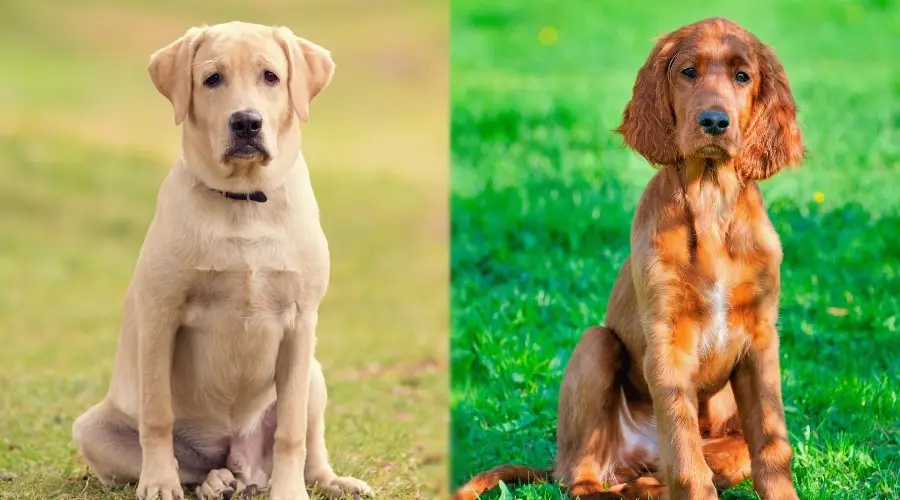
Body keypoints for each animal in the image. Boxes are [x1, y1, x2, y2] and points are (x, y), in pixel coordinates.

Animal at [72, 20, 374, 500]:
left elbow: (291, 432)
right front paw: (159, 483)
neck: (244, 201)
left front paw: (289, 492)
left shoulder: (301, 323)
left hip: (313, 375)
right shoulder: (160, 316)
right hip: (93, 428)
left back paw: (328, 480)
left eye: (271, 76)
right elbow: (157, 416)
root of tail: (242, 459)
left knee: (310, 450)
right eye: (212, 79)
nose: (246, 122)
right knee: (192, 465)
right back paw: (215, 481)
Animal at [458, 16, 800, 500]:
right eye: (688, 72)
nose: (715, 121)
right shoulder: (667, 341)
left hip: (729, 447)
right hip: (595, 348)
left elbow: (773, 445)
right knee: (583, 479)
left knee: (659, 479)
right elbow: (686, 458)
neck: (710, 200)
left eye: (742, 76)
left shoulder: (761, 340)